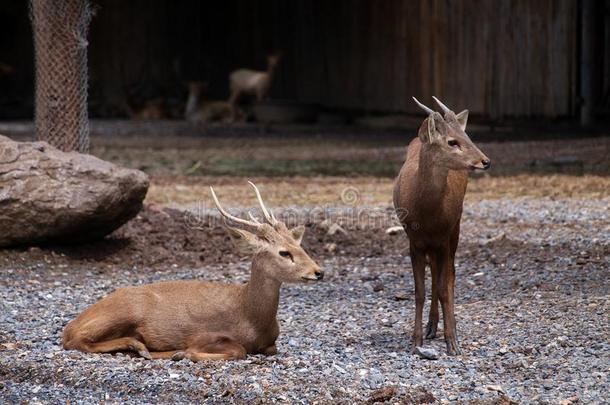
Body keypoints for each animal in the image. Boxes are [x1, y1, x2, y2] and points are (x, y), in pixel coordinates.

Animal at [61, 182, 324, 360]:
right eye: (284, 253)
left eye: (299, 246)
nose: (319, 272)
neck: (251, 315)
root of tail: (73, 321)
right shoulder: (204, 334)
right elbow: (238, 350)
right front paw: (185, 353)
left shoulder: (270, 342)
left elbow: (271, 348)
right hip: (123, 311)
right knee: (76, 340)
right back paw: (141, 347)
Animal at [394, 97, 490, 354]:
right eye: (451, 141)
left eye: (467, 136)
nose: (485, 161)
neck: (427, 216)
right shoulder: (414, 241)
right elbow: (419, 291)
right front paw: (416, 340)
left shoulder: (444, 237)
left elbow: (445, 287)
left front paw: (452, 342)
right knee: (436, 274)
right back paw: (431, 327)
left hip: (456, 228)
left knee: (450, 277)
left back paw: (447, 327)